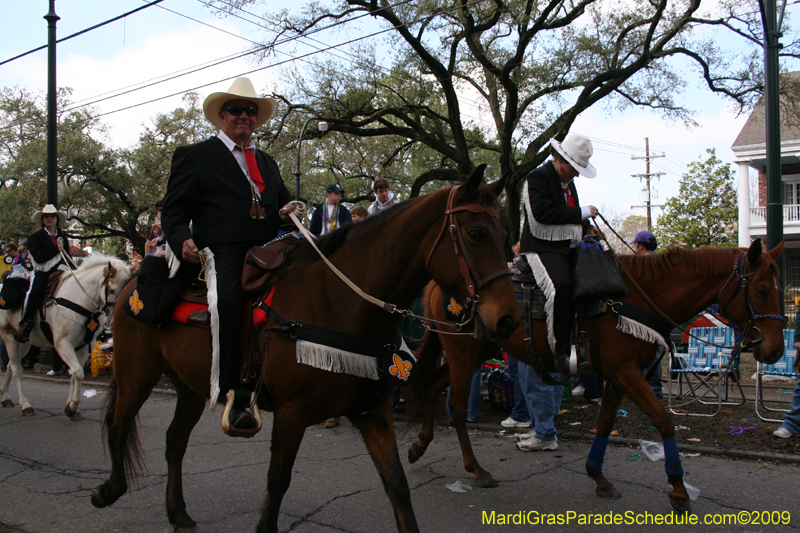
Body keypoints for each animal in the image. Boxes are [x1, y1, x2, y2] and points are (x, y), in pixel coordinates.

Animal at [90, 164, 520, 528]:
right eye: (476, 233)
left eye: (505, 237)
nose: (508, 320)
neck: (339, 302)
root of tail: (130, 283)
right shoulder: (292, 413)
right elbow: (277, 483)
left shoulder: (372, 412)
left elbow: (397, 486)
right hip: (136, 375)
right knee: (119, 422)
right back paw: (110, 490)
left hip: (191, 386)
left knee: (174, 442)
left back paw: (178, 512)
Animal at [410, 241, 784, 512]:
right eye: (762, 290)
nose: (776, 351)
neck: (634, 297)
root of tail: (437, 283)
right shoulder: (626, 372)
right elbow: (664, 419)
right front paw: (678, 488)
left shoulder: (615, 375)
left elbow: (605, 422)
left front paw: (598, 476)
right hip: (462, 350)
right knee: (456, 408)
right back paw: (476, 469)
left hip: (476, 352)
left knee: (431, 385)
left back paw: (421, 444)